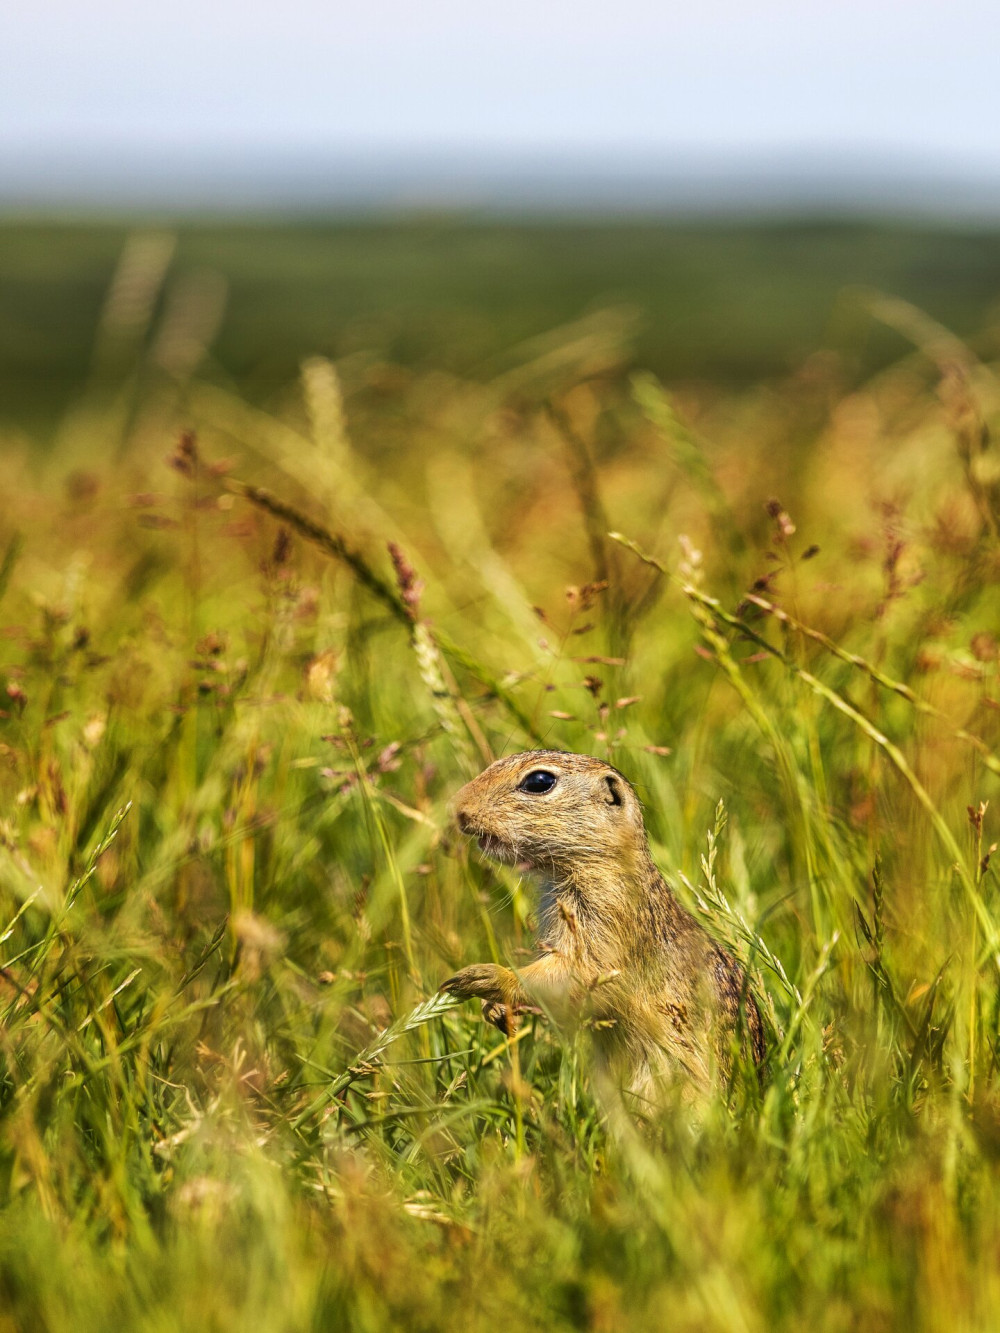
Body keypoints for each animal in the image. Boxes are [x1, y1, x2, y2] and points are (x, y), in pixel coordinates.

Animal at [440, 751, 768, 1093]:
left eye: (539, 781)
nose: (456, 808)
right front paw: (494, 1009)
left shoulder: (608, 918)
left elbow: (577, 974)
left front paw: (485, 977)